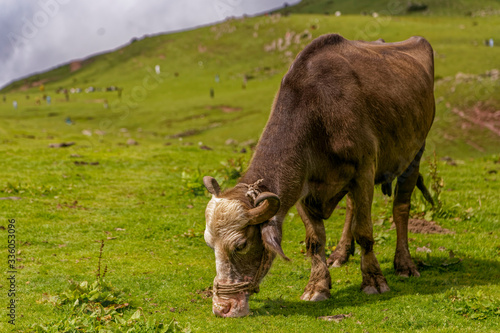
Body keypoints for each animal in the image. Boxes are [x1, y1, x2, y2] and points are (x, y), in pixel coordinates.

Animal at [202, 33, 434, 316]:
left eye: (241, 245)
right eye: (210, 244)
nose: (222, 307)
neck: (319, 114)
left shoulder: (364, 172)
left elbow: (365, 231)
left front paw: (374, 280)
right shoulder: (302, 186)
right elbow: (315, 240)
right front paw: (317, 287)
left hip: (415, 152)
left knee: (400, 208)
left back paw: (405, 264)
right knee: (351, 207)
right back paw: (341, 254)